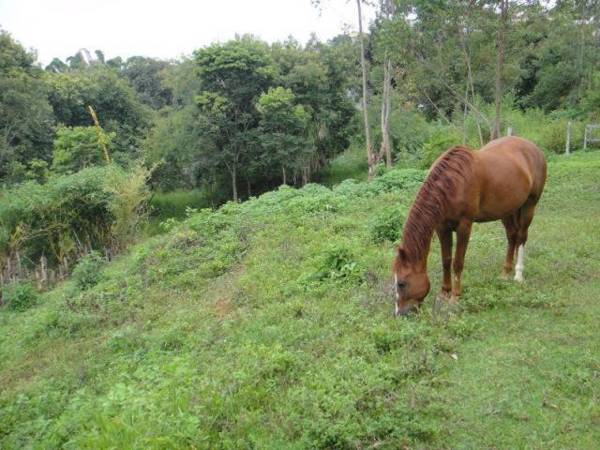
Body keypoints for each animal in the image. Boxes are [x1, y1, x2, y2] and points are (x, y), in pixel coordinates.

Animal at [392, 135, 548, 314]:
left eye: (401, 283)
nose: (400, 313)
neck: (452, 183)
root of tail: (532, 147)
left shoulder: (464, 226)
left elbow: (458, 262)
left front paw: (455, 297)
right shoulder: (442, 227)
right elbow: (446, 260)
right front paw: (444, 293)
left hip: (530, 204)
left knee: (521, 237)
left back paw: (518, 274)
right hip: (508, 210)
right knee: (512, 236)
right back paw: (505, 273)